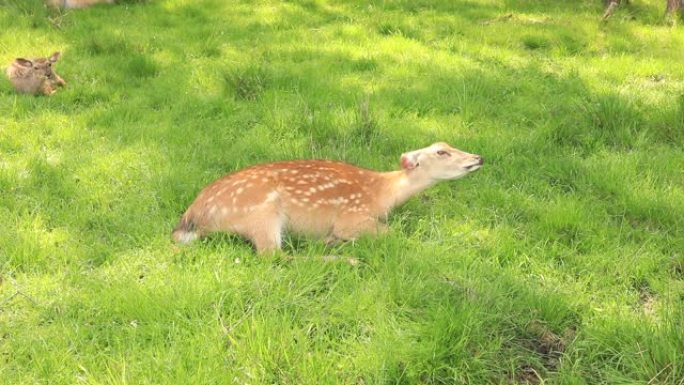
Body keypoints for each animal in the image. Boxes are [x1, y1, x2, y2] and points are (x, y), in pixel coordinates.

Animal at [171, 141, 484, 252]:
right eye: (441, 151)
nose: (478, 157)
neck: (383, 195)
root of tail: (190, 219)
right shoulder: (352, 216)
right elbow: (392, 233)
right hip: (261, 211)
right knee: (272, 255)